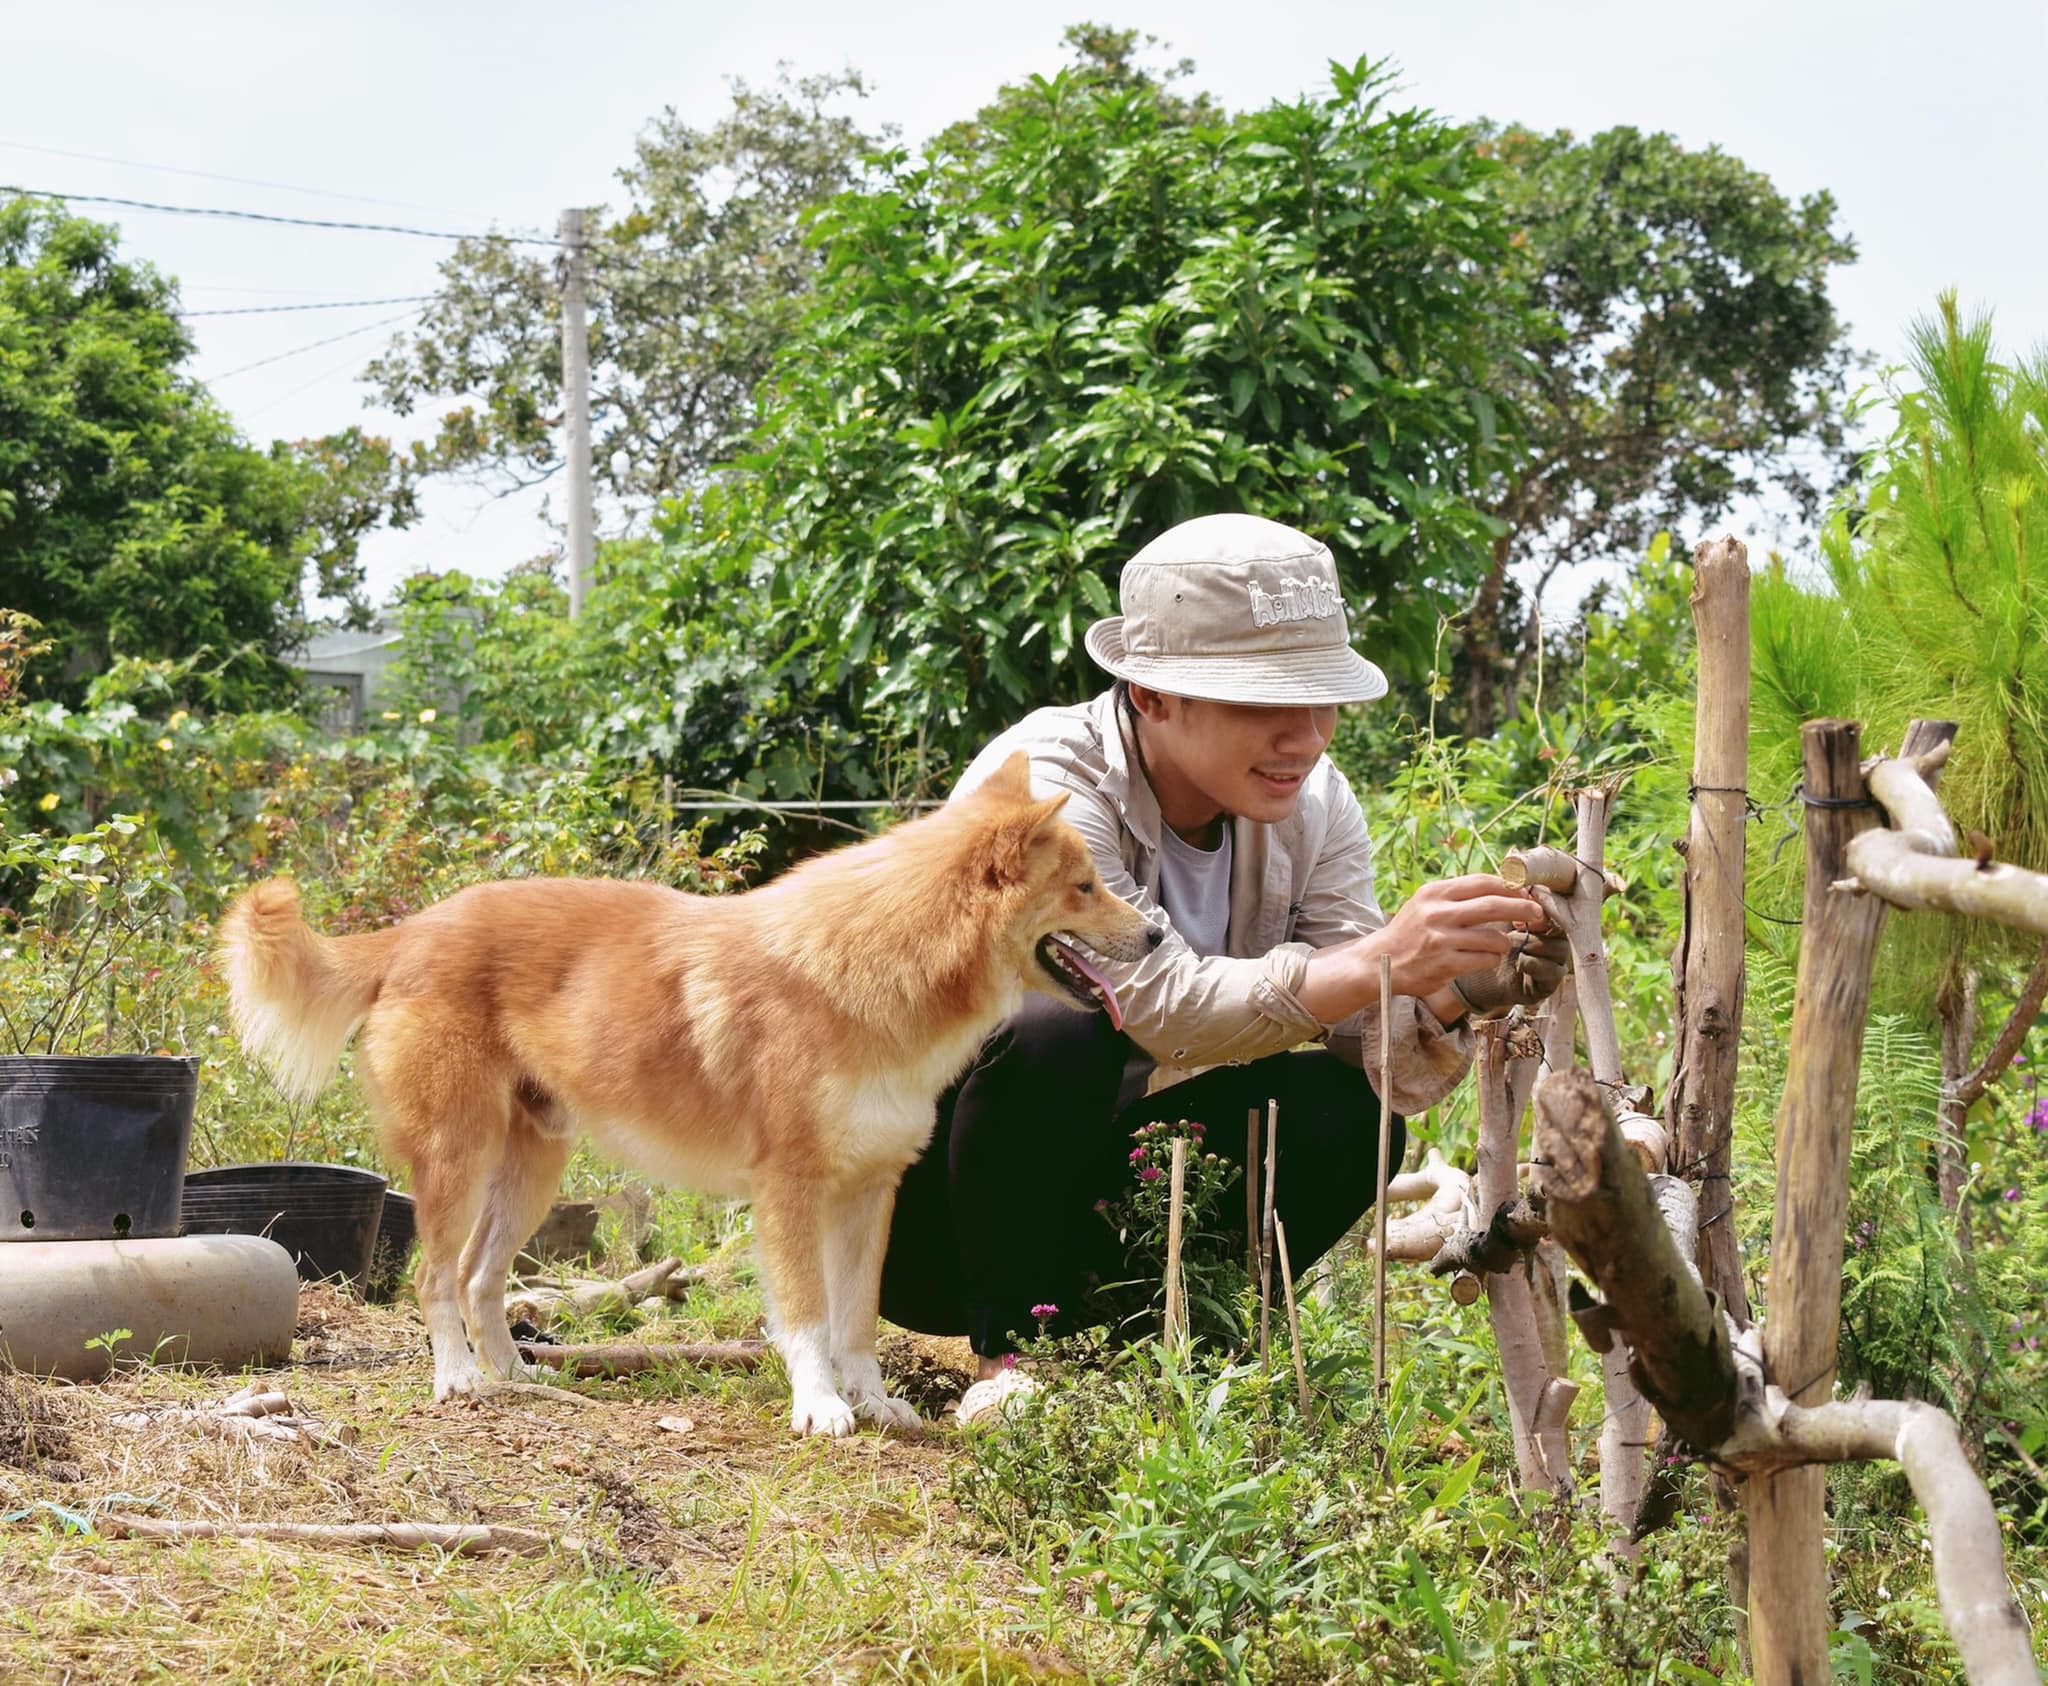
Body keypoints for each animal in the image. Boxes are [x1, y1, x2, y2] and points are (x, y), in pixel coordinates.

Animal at [224, 766, 1163, 1434]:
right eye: (1085, 887)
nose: (1158, 934)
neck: (873, 969)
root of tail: (412, 930)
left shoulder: (868, 1194)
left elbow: (855, 1319)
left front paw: (871, 1401)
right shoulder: (788, 1193)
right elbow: (808, 1318)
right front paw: (821, 1407)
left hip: (531, 1173)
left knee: (480, 1279)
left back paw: (517, 1378)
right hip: (458, 1159)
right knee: (434, 1280)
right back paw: (457, 1380)